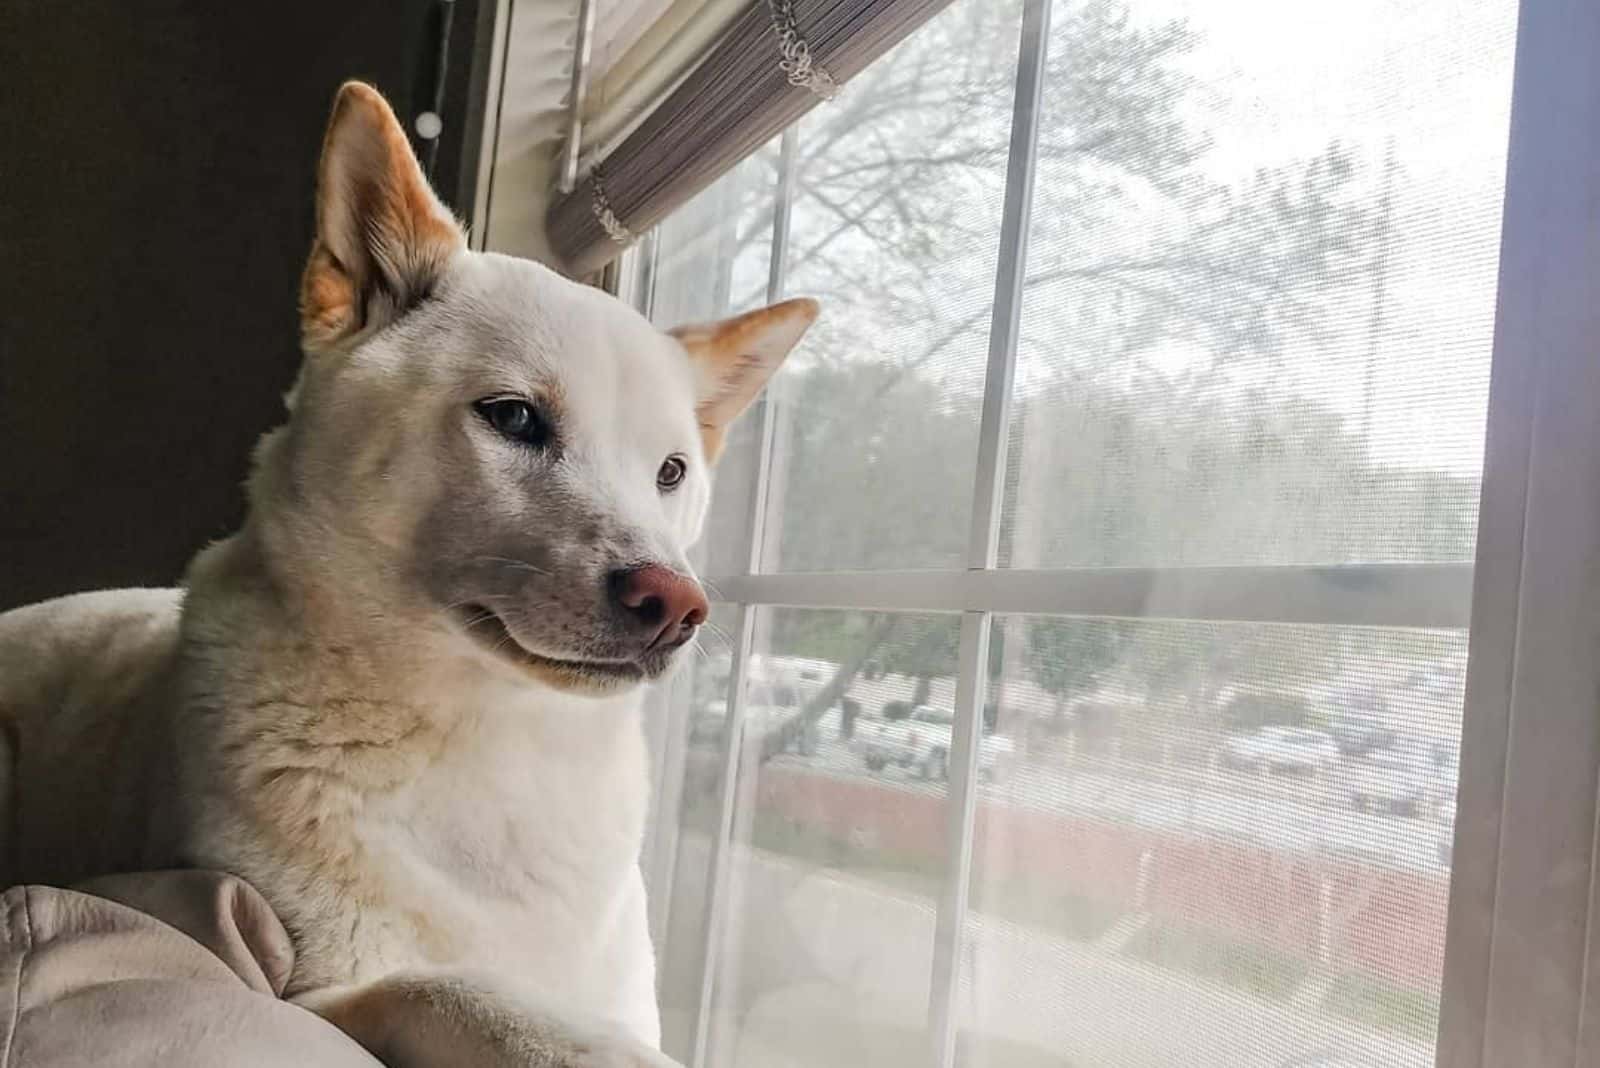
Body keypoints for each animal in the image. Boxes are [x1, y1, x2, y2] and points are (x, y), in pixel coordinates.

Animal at [0, 83, 819, 1068]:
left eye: (670, 472)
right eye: (514, 418)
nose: (676, 604)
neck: (497, 747)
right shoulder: (319, 990)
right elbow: (466, 995)